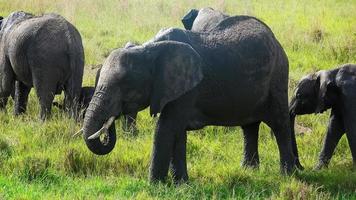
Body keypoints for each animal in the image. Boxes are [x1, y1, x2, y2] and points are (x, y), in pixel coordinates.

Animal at [81, 14, 298, 182]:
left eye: (124, 84)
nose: (107, 128)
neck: (148, 48)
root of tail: (275, 39)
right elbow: (178, 132)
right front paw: (181, 184)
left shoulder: (187, 88)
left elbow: (166, 128)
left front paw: (155, 185)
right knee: (249, 127)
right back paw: (249, 170)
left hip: (278, 76)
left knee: (279, 123)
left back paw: (287, 175)